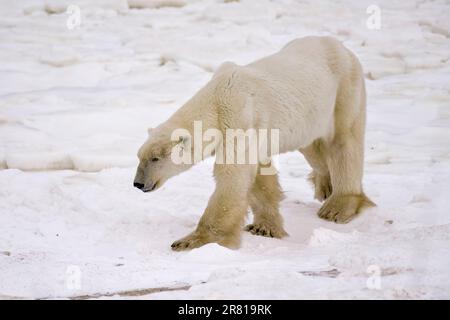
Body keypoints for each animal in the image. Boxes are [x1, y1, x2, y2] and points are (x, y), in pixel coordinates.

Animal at [134, 36, 376, 251]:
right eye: (140, 156)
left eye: (155, 158)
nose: (138, 183)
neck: (217, 98)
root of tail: (341, 46)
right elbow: (259, 178)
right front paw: (264, 227)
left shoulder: (238, 120)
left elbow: (231, 178)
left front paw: (192, 241)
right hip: (310, 114)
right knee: (312, 147)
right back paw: (324, 186)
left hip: (344, 90)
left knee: (344, 141)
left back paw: (337, 207)